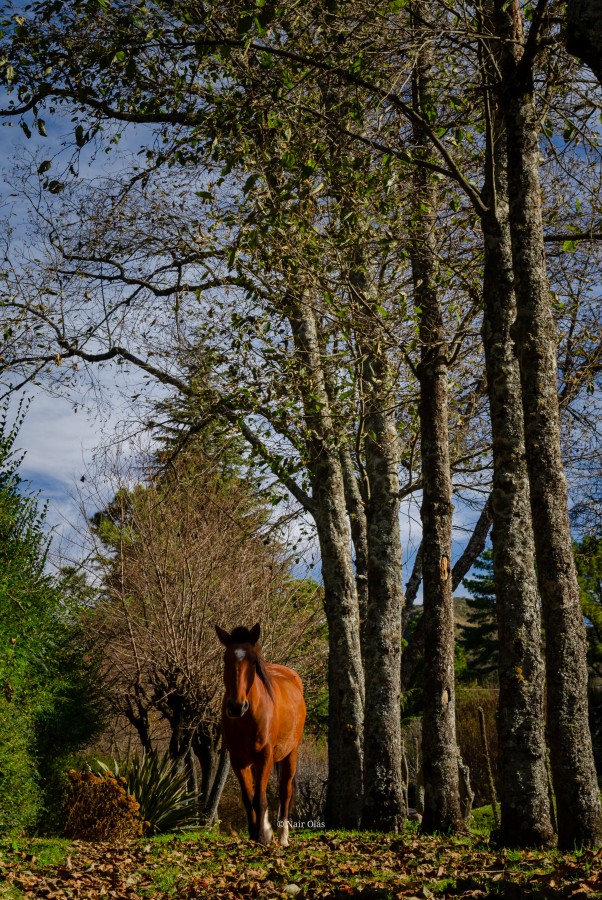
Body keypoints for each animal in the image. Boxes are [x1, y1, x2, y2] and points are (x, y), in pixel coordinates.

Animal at [216, 624, 304, 848]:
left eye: (253, 661)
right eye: (225, 659)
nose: (236, 706)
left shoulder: (265, 756)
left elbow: (260, 799)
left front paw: (262, 838)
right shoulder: (238, 760)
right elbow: (249, 798)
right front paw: (255, 833)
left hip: (291, 753)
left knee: (285, 791)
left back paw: (282, 836)